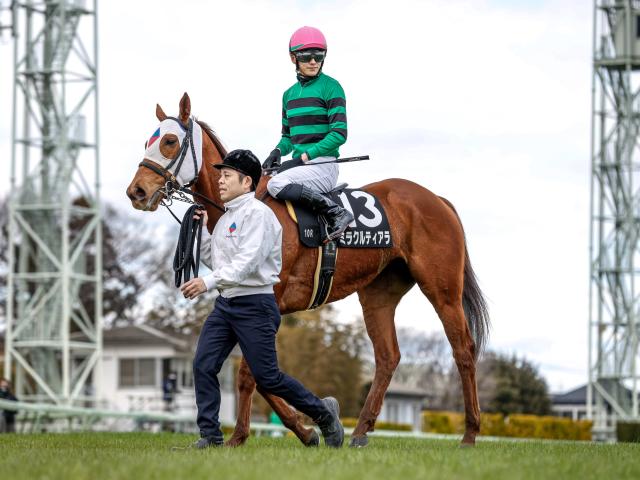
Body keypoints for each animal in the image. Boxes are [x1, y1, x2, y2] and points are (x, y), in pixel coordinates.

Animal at [125, 93, 488, 446]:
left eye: (170, 141)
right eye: (147, 141)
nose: (136, 191)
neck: (246, 205)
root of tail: (438, 200)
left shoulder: (270, 300)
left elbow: (251, 375)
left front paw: (243, 436)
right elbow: (262, 377)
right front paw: (310, 427)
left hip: (442, 290)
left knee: (463, 350)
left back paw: (470, 433)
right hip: (378, 295)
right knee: (388, 357)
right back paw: (359, 432)